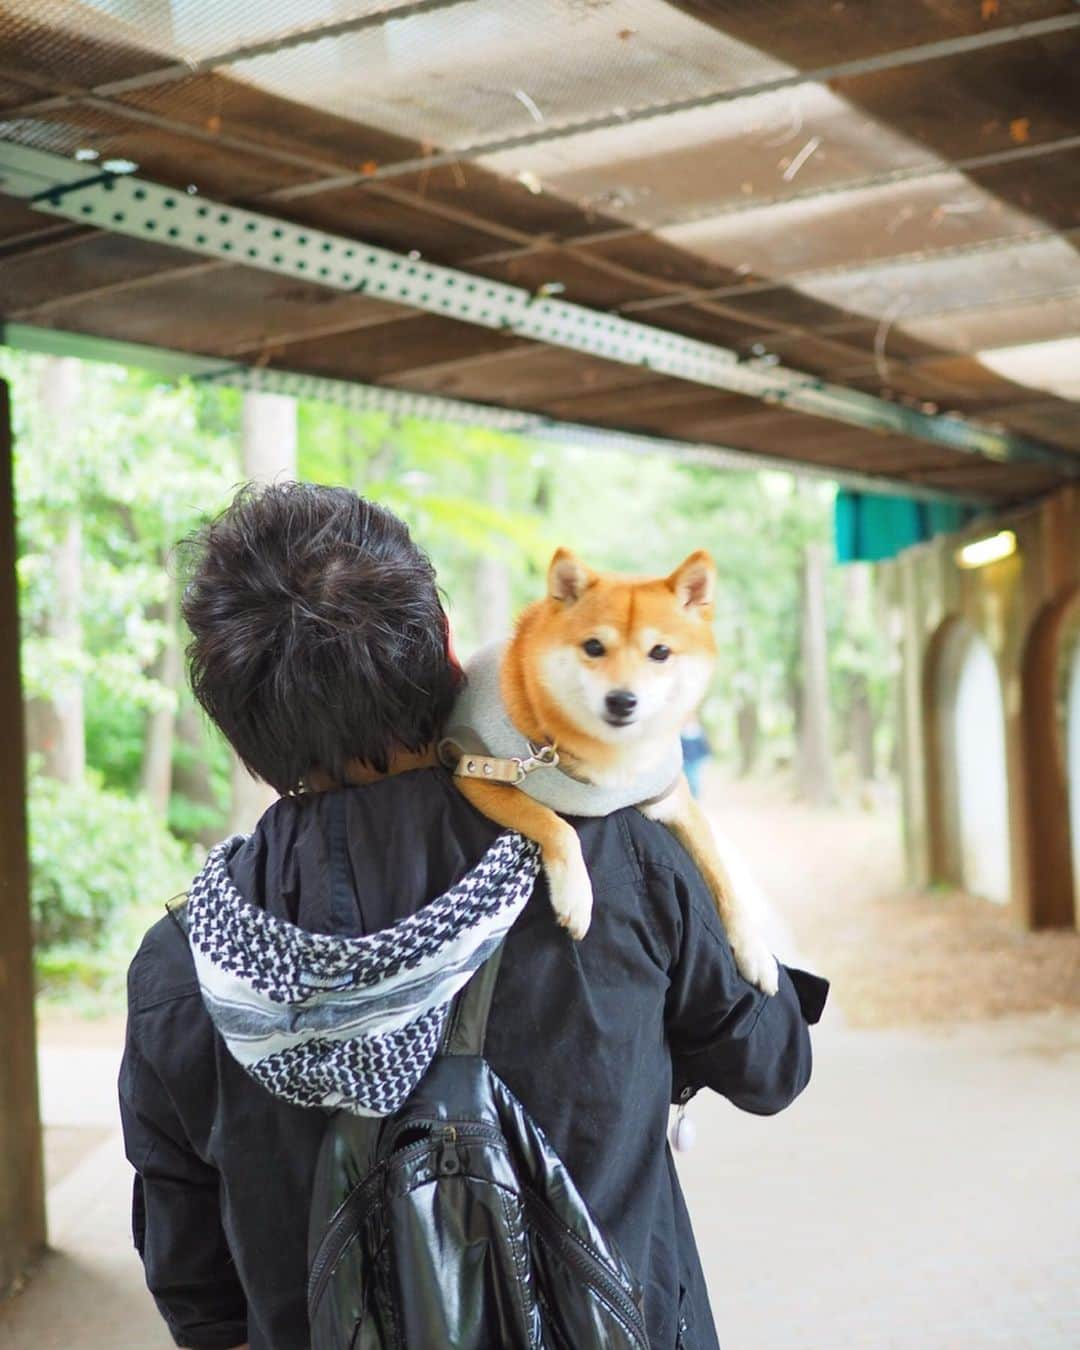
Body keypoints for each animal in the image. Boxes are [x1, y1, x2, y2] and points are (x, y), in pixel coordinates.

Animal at [442, 542, 783, 999]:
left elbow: (722, 881)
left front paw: (754, 952)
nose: (622, 700)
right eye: (593, 647)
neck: (609, 759)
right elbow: (554, 824)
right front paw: (576, 896)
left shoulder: (674, 801)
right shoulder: (480, 773)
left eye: (660, 652)